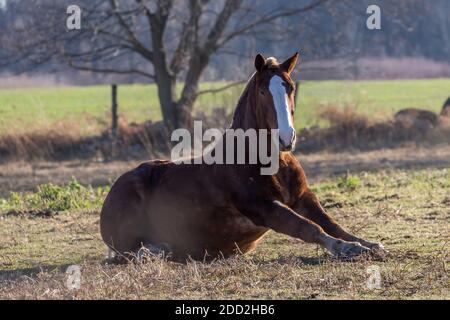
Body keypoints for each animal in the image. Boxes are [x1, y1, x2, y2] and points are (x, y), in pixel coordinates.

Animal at [100, 53, 384, 262]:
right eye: (262, 92)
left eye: (290, 88)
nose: (286, 138)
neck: (269, 162)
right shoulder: (263, 206)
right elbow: (307, 227)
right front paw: (348, 249)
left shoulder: (303, 197)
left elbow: (330, 222)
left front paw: (369, 244)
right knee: (129, 253)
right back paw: (154, 251)